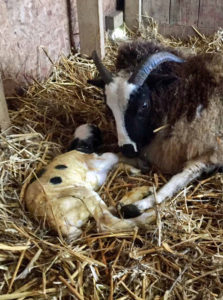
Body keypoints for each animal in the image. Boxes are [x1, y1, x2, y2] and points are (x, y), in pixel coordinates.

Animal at [23, 123, 155, 238]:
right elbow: (116, 156)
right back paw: (149, 215)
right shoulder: (97, 159)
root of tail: (54, 223)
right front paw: (140, 164)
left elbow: (118, 163)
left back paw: (140, 194)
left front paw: (136, 169)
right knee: (106, 222)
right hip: (83, 192)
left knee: (112, 210)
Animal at [89, 39, 223, 218]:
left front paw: (138, 205)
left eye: (144, 105)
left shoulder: (210, 152)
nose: (127, 149)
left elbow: (179, 178)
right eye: (109, 107)